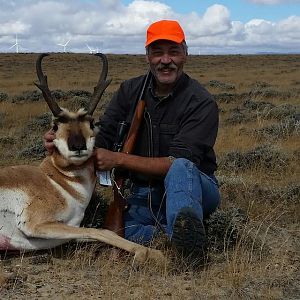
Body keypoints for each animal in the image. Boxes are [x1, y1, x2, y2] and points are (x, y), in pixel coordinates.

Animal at [0, 53, 164, 262]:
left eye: (92, 122)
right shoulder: (36, 224)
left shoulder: (69, 229)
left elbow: (97, 232)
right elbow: (102, 231)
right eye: (55, 126)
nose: (78, 146)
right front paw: (151, 252)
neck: (56, 180)